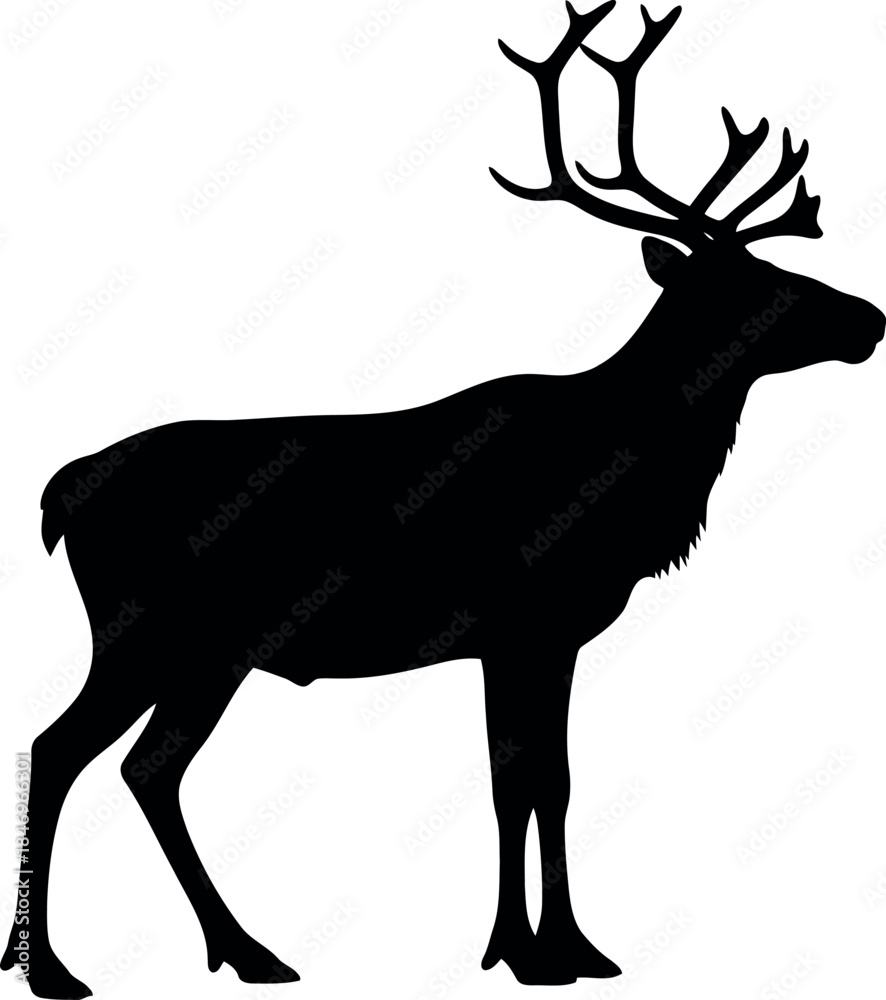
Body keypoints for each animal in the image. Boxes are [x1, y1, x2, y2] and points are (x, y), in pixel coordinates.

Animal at [3, 2, 883, 996]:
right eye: (757, 284)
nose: (871, 319)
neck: (624, 474)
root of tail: (58, 493)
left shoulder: (546, 636)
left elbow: (547, 781)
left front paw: (566, 947)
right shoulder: (520, 623)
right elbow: (520, 782)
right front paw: (528, 951)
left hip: (208, 654)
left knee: (149, 768)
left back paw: (245, 950)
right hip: (142, 630)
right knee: (60, 748)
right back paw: (53, 969)